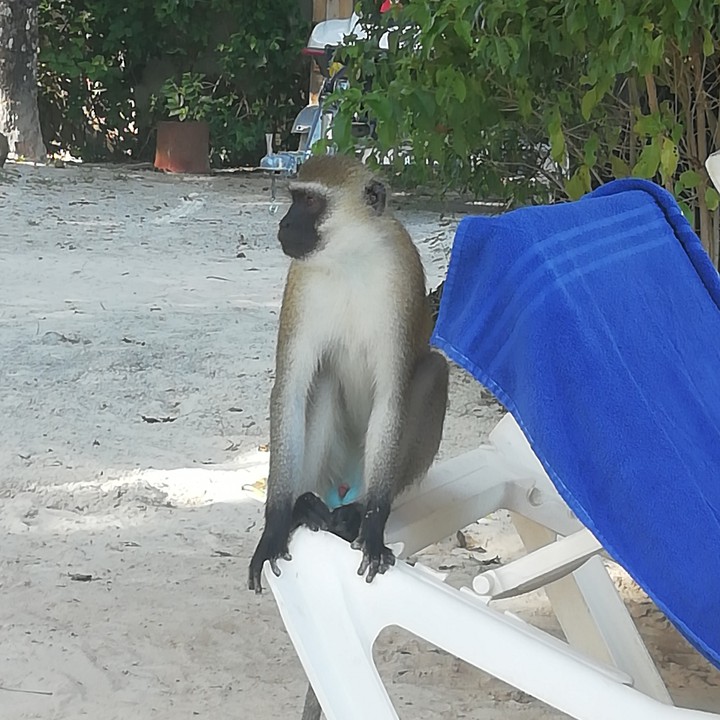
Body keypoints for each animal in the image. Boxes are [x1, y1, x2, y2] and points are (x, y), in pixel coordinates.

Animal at [248, 154, 448, 595]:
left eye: (309, 202)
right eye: (294, 197)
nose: (284, 223)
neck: (349, 259)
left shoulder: (400, 275)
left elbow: (393, 395)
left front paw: (372, 525)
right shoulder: (300, 282)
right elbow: (290, 390)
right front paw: (275, 525)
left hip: (365, 466)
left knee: (434, 371)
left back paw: (355, 510)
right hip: (334, 465)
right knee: (321, 379)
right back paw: (305, 504)